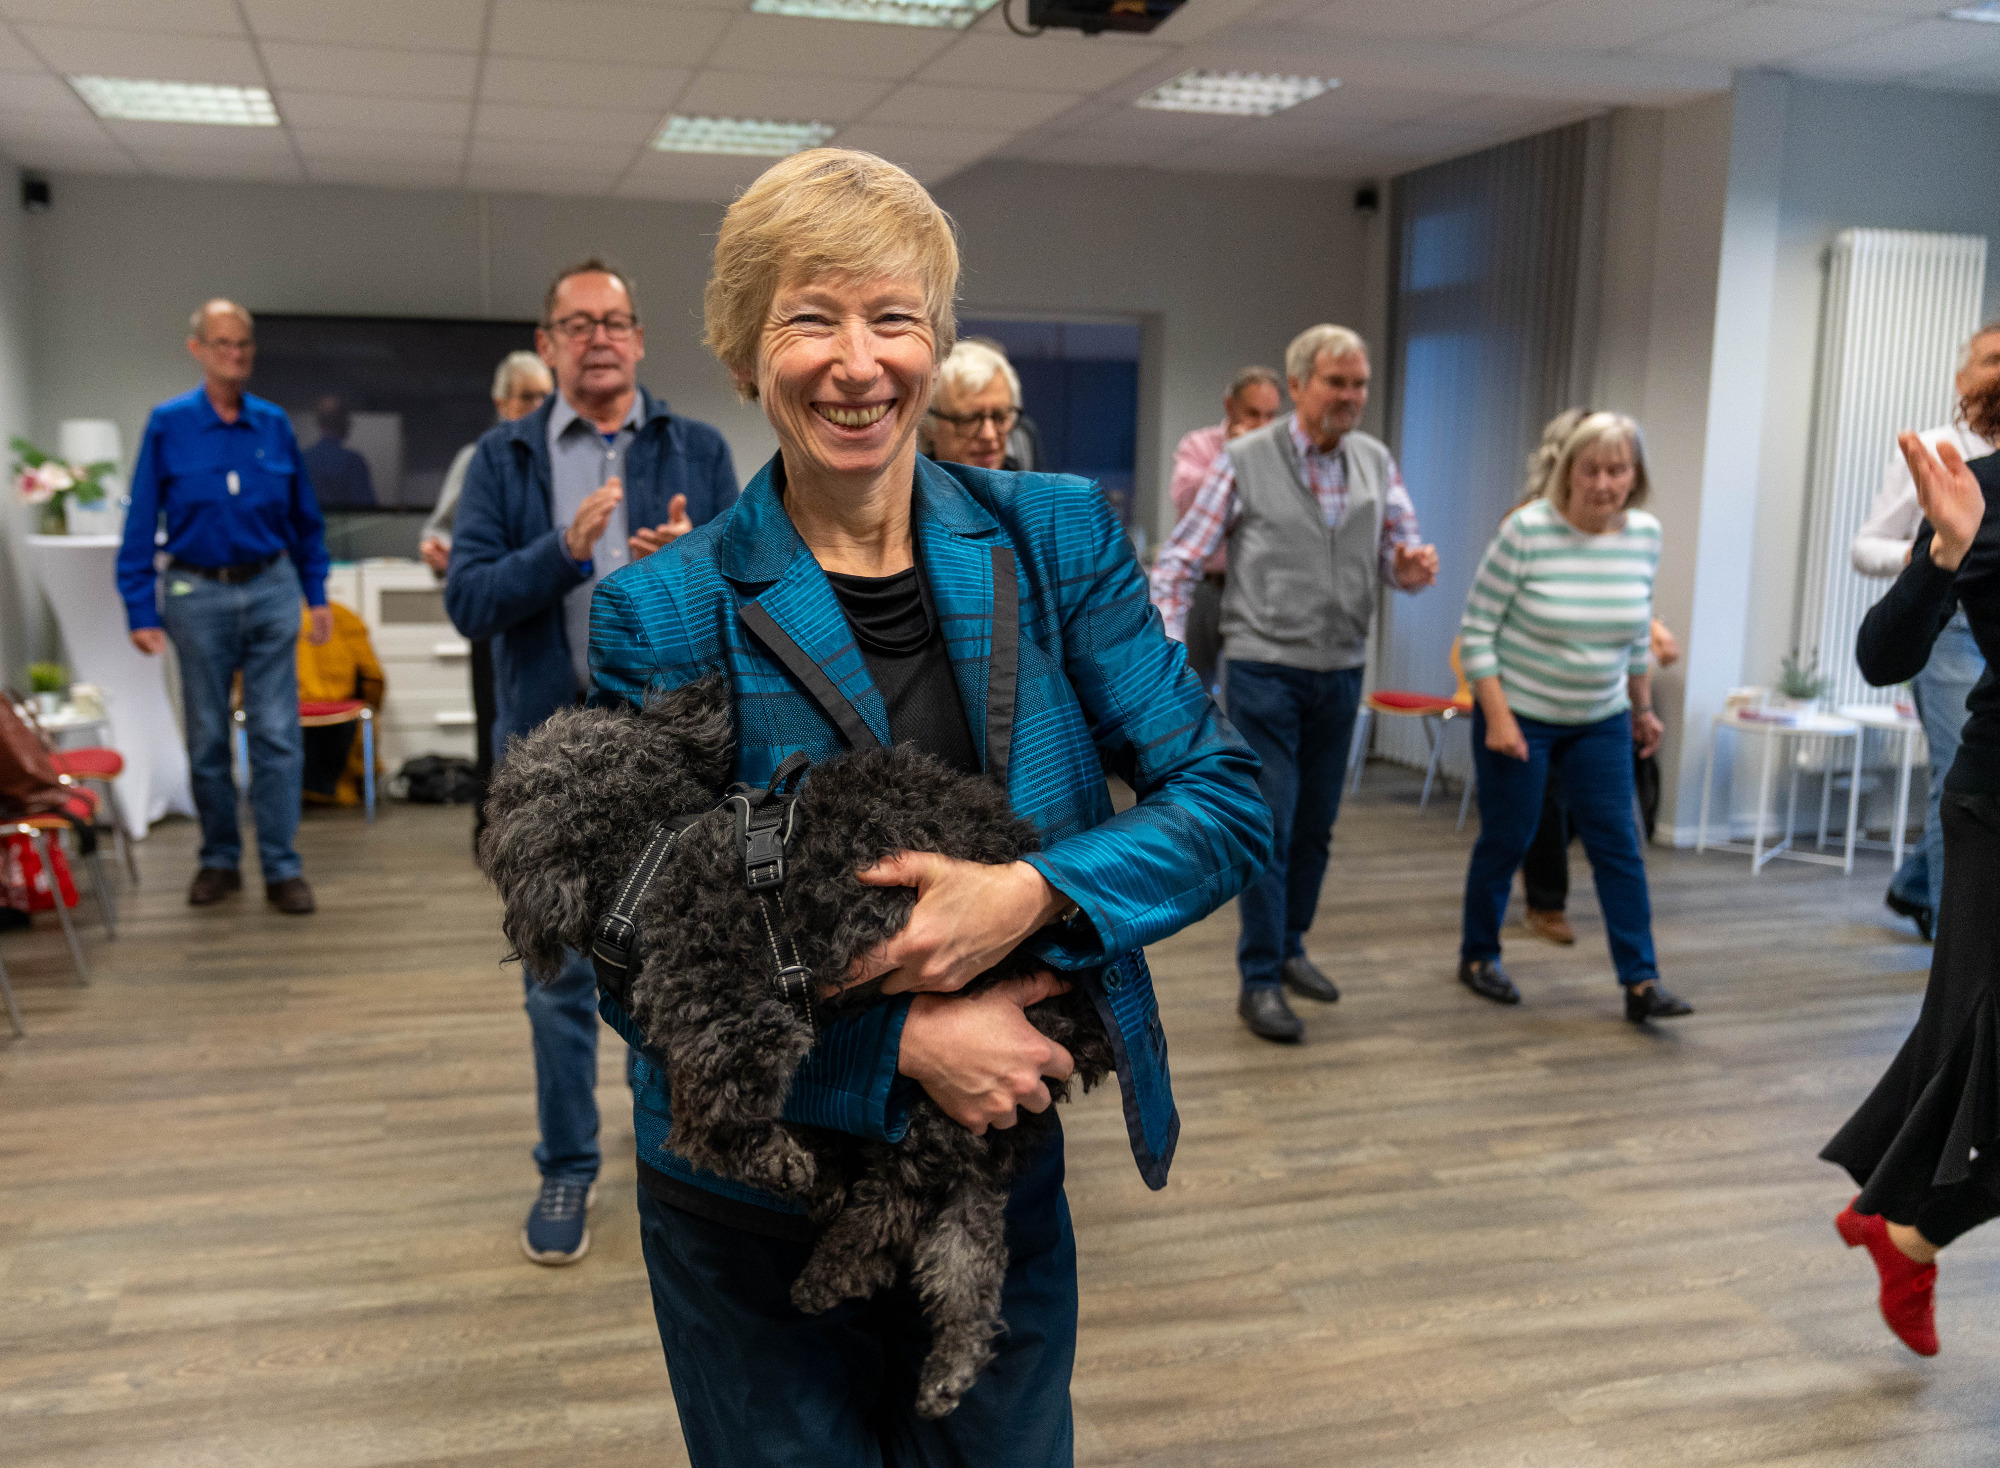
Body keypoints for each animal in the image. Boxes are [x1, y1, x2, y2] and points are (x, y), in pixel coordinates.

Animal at [480, 674, 1113, 1416]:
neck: (653, 855)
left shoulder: (731, 1017)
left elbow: (713, 1121)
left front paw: (783, 1166)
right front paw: (806, 1169)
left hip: (946, 1089)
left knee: (901, 1198)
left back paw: (834, 1264)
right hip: (974, 1127)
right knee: (966, 1244)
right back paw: (947, 1362)